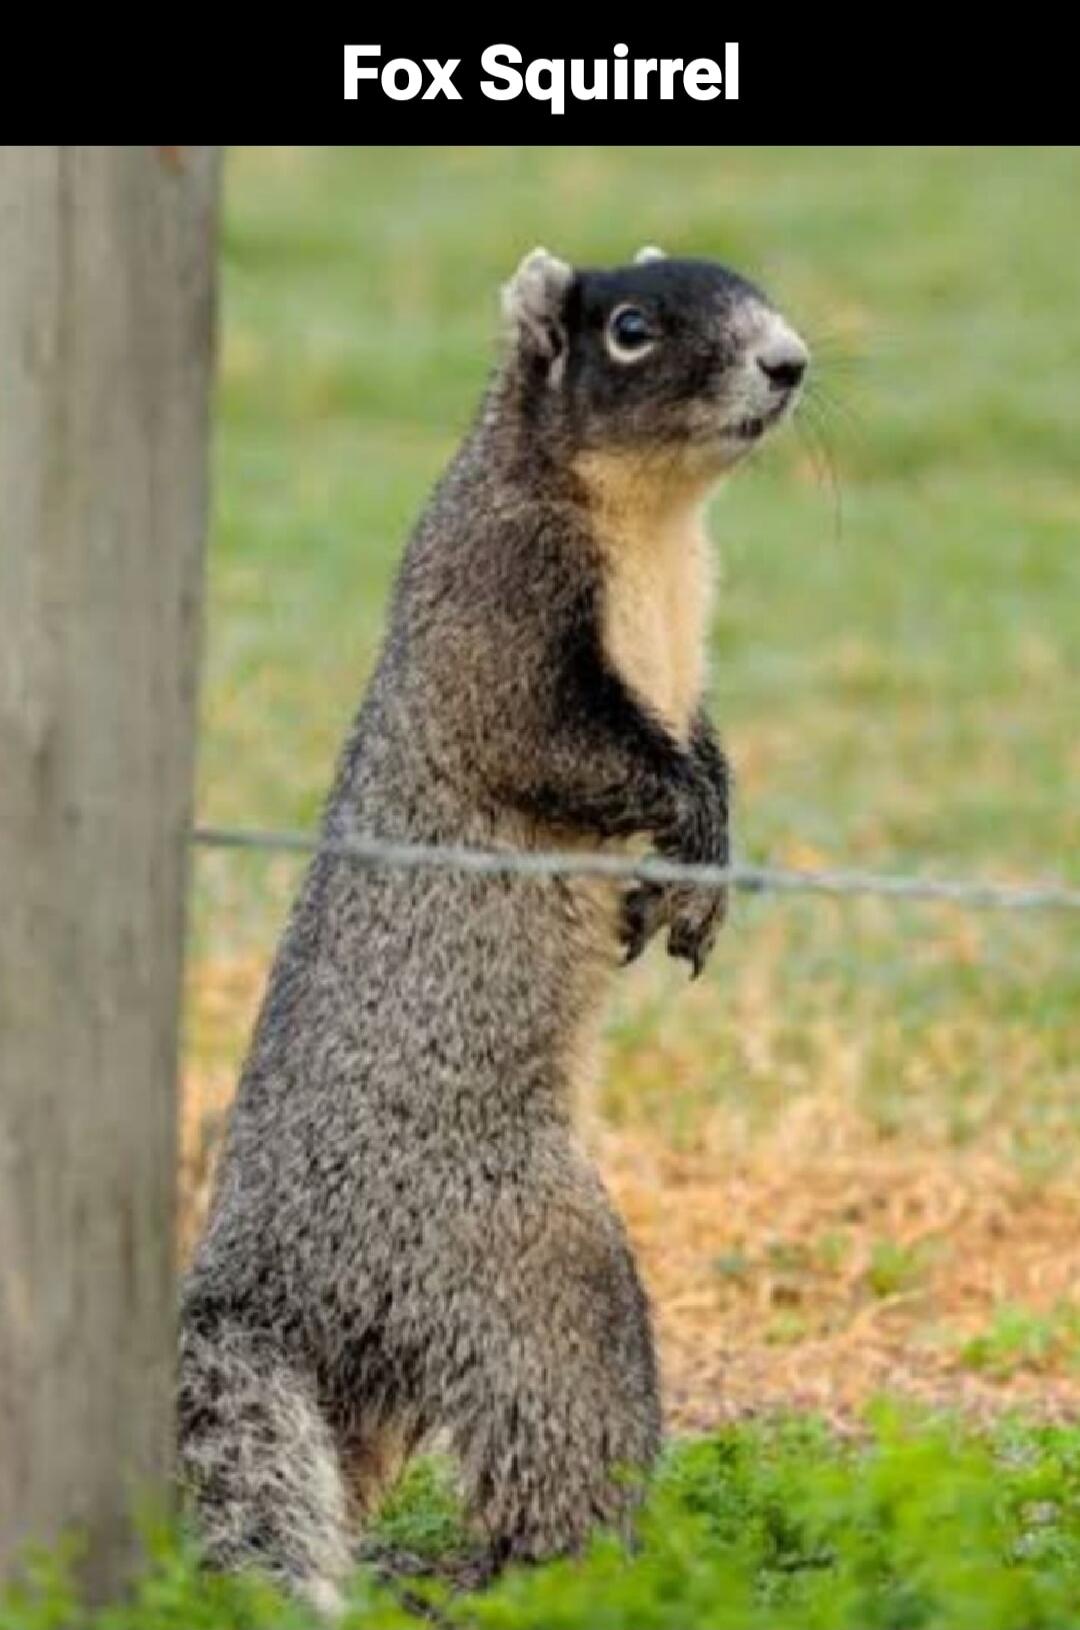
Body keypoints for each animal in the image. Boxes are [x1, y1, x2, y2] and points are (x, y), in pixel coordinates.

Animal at [178, 246, 808, 1614]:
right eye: (631, 329)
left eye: (752, 286)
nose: (788, 362)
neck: (662, 531)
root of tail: (269, 1276)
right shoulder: (497, 611)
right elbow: (565, 751)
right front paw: (686, 830)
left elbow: (705, 747)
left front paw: (708, 866)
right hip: (526, 1265)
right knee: (559, 1434)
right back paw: (577, 1572)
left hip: (379, 1382)